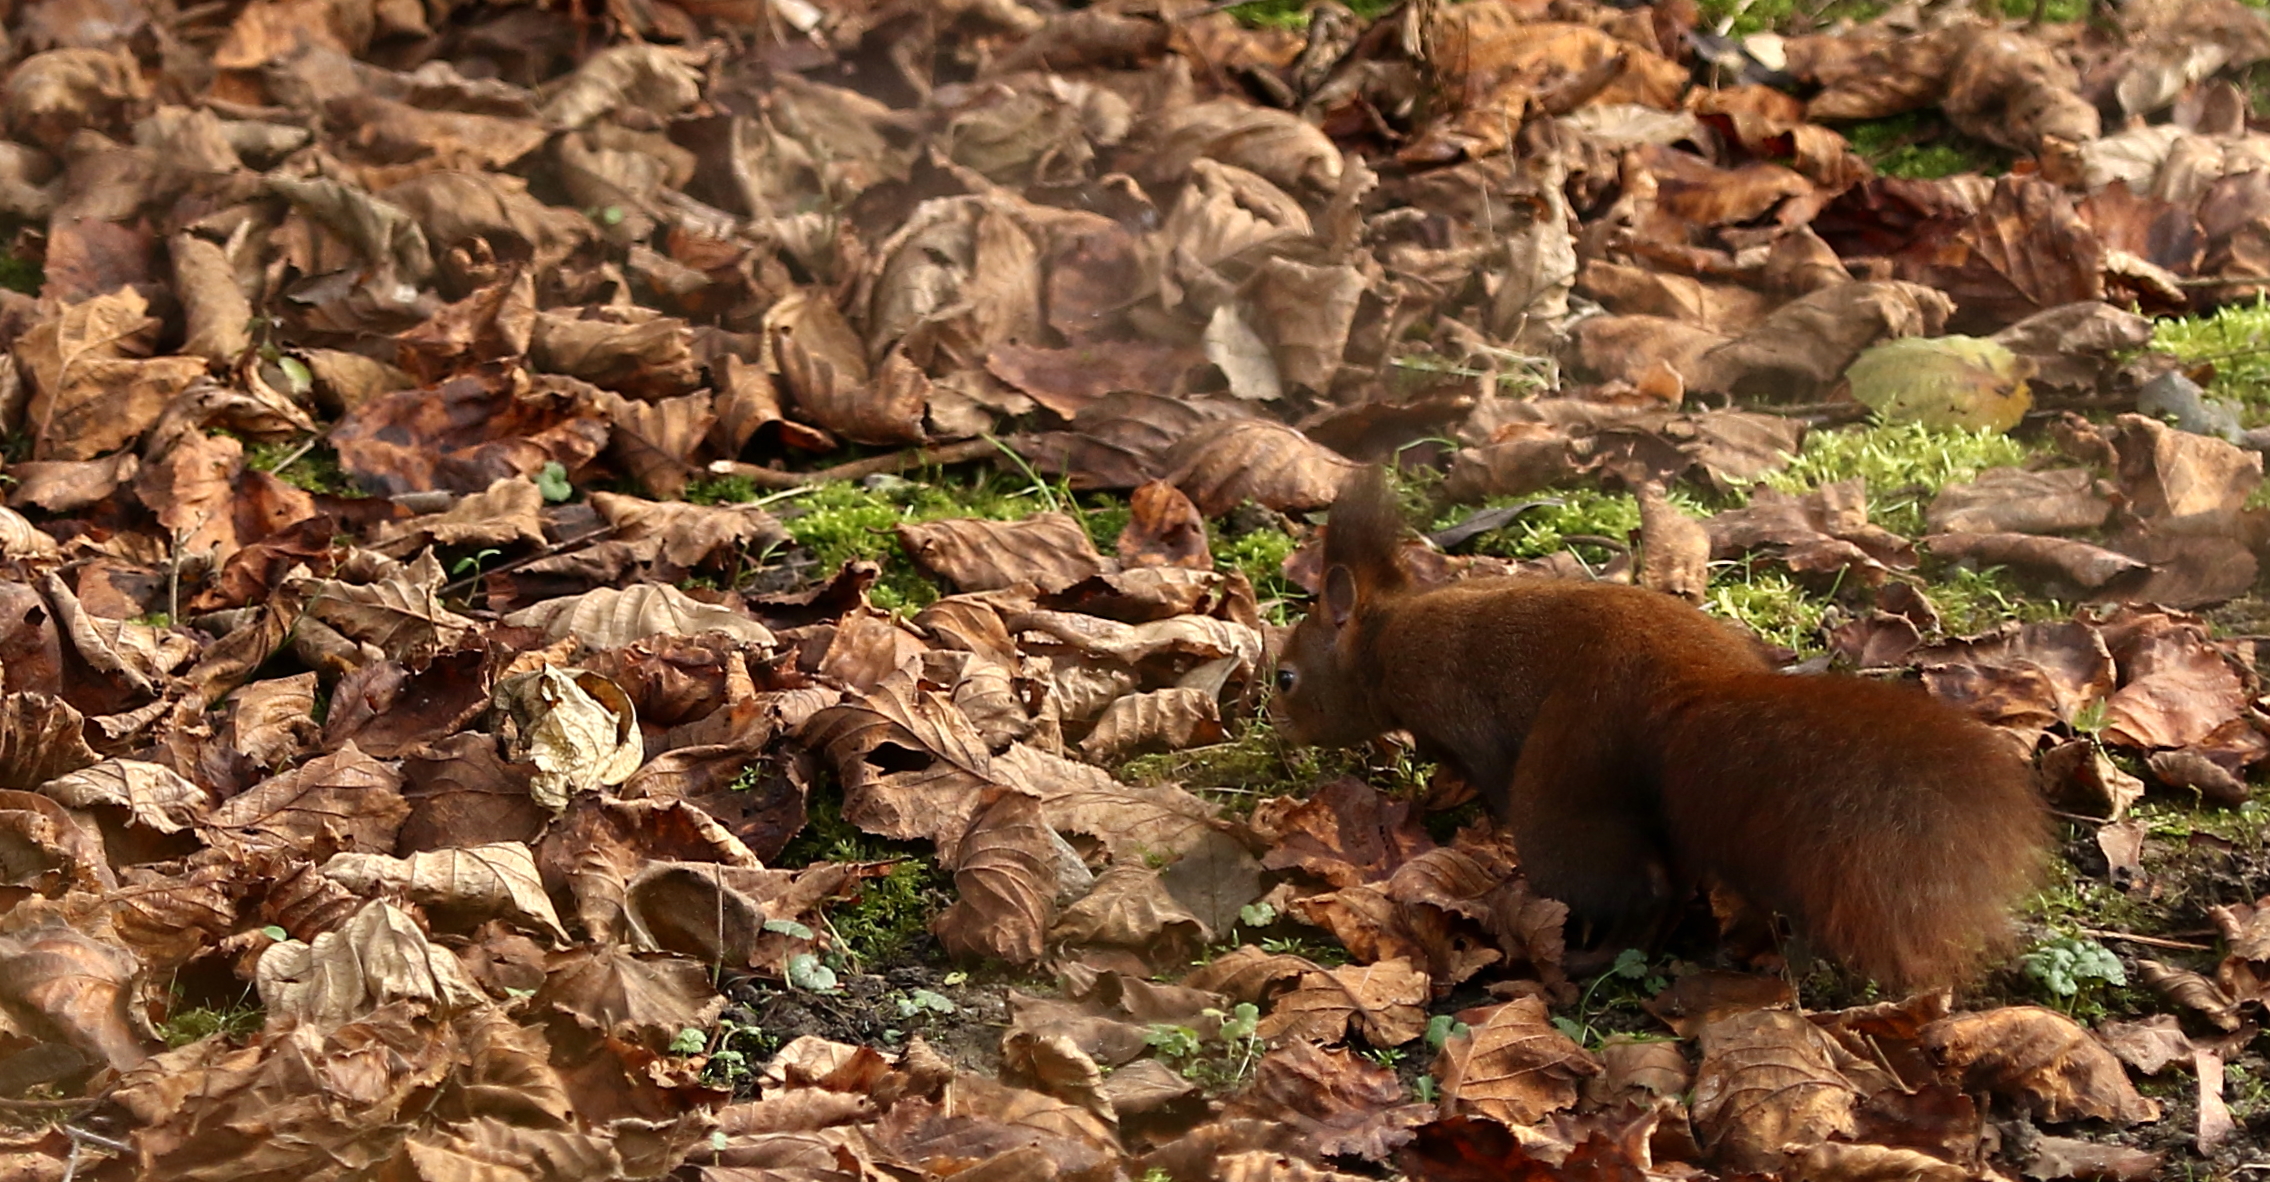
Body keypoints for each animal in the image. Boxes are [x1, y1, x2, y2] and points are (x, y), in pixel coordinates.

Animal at [1272, 467, 2050, 989]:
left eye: (1285, 678)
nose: (1277, 729)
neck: (1385, 640)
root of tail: (1689, 692)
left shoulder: (1455, 709)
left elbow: (1479, 770)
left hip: (1565, 777)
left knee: (1637, 883)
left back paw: (1586, 955)